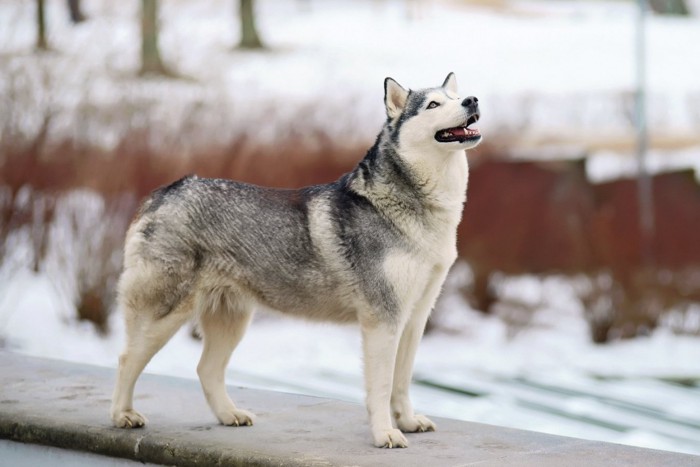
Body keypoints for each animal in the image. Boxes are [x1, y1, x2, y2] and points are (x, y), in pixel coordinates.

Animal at [110, 74, 482, 450]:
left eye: (453, 97)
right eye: (433, 105)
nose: (472, 100)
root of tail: (168, 190)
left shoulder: (414, 319)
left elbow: (402, 382)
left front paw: (406, 422)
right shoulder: (383, 320)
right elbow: (380, 387)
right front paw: (385, 433)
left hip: (232, 321)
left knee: (206, 370)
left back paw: (229, 415)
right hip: (166, 316)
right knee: (126, 359)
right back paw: (122, 415)